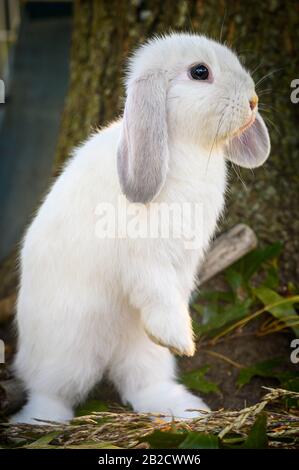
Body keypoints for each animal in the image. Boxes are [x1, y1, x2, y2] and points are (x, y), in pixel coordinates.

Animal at [11, 32, 270, 422]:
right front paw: (181, 341)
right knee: (51, 390)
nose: (253, 101)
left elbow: (171, 293)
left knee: (141, 384)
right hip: (65, 351)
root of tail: (108, 354)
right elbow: (156, 290)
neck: (185, 147)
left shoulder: (182, 259)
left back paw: (183, 407)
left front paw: (181, 342)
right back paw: (39, 421)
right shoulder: (144, 258)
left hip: (142, 352)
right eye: (200, 72)